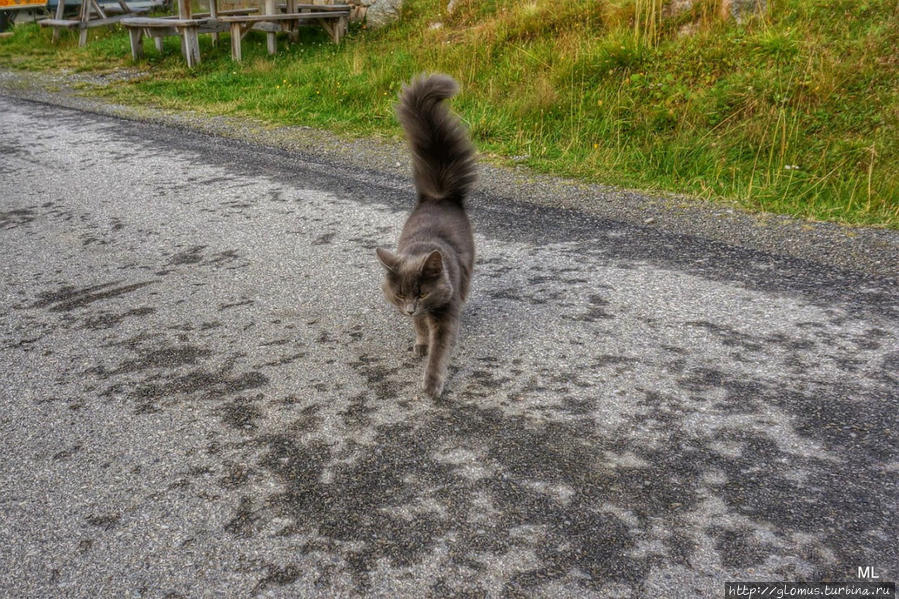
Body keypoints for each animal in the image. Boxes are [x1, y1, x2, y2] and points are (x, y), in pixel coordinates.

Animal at [376, 74, 478, 398]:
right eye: (400, 294)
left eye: (421, 293)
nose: (409, 309)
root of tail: (437, 196)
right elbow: (420, 328)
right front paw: (420, 343)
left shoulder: (445, 314)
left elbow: (440, 350)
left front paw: (432, 384)